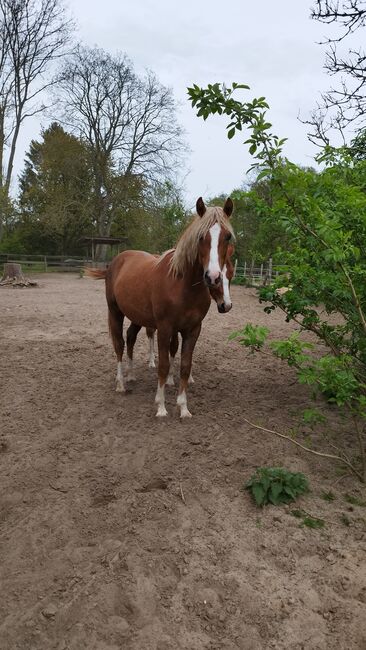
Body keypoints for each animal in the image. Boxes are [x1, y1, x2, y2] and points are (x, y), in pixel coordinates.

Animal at [86, 196, 234, 416]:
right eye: (200, 237)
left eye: (228, 237)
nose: (213, 277)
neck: (182, 285)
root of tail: (115, 262)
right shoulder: (165, 328)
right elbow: (163, 365)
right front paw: (161, 407)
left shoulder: (192, 329)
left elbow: (185, 365)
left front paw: (183, 407)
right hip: (115, 313)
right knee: (119, 344)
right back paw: (121, 383)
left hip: (137, 316)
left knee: (130, 337)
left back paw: (131, 375)